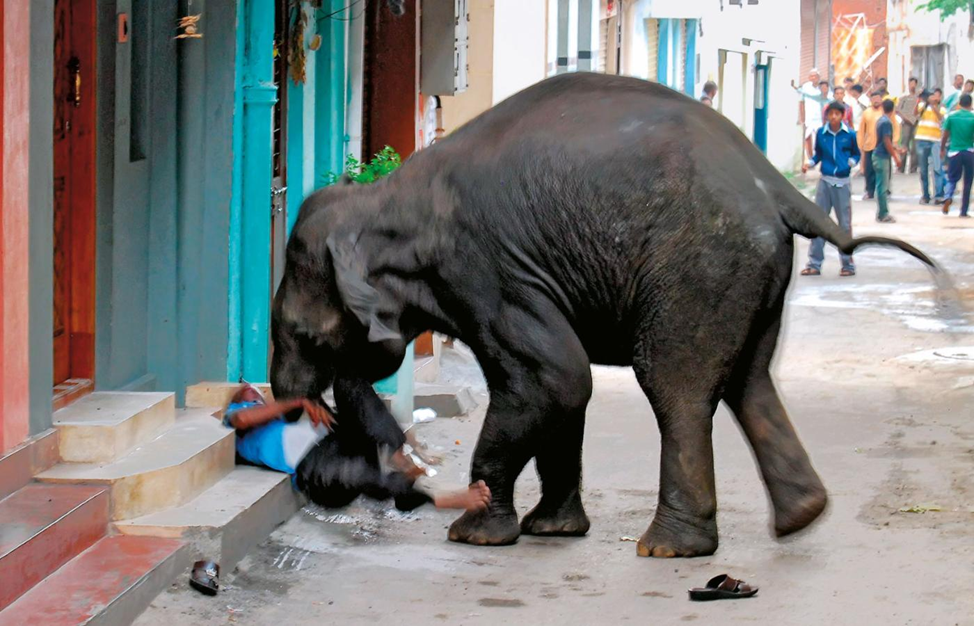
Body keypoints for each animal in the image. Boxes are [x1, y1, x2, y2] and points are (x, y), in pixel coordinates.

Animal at [268, 72, 936, 556]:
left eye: (302, 335)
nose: (309, 411)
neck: (386, 200)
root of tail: (775, 184)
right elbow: (561, 389)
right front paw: (551, 530)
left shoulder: (483, 270)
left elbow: (553, 378)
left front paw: (475, 534)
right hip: (751, 275)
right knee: (751, 380)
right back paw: (800, 519)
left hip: (702, 265)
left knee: (674, 385)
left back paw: (669, 549)